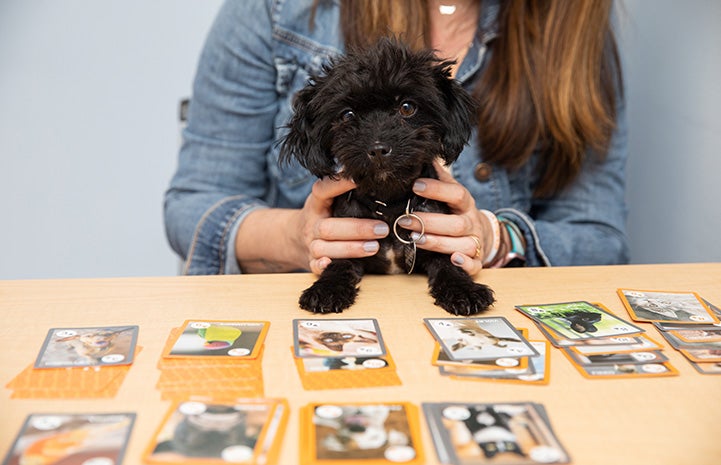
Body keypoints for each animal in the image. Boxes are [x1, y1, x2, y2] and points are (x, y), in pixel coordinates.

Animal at [282, 38, 496, 316]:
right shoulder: (345, 239)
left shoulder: (439, 241)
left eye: (407, 107)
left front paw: (464, 290)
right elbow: (339, 264)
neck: (390, 203)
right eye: (347, 115)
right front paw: (326, 289)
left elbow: (449, 263)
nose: (378, 149)